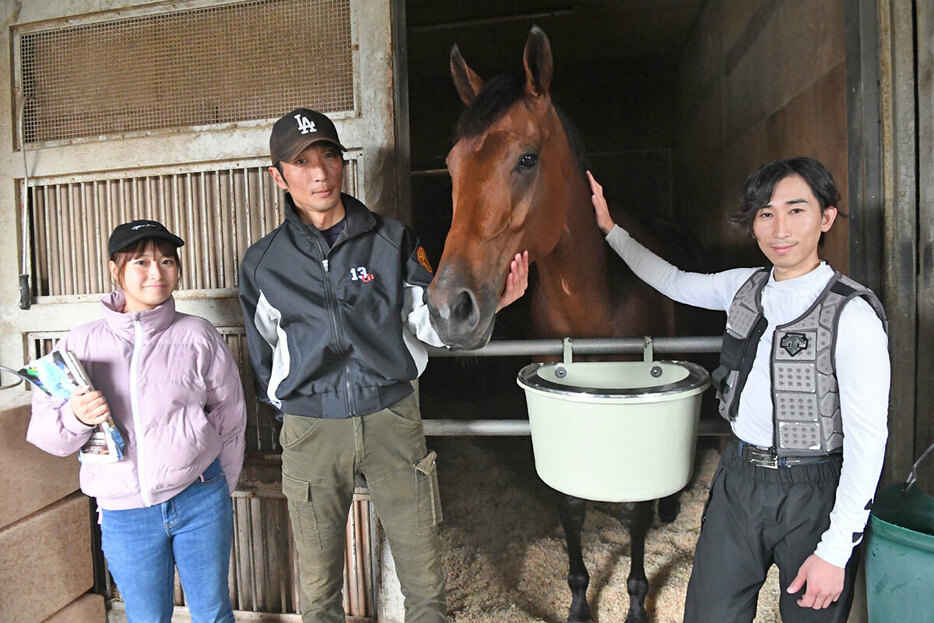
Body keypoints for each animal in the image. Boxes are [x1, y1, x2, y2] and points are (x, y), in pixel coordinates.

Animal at [430, 25, 688, 623]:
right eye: (452, 165)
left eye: (527, 158)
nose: (450, 308)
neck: (589, 306)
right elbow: (569, 506)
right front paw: (576, 600)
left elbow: (633, 509)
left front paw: (635, 602)